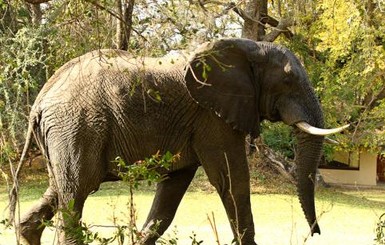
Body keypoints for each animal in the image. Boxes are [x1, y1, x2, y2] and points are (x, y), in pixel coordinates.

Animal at [9, 38, 346, 245]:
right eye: (288, 81)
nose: (316, 232)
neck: (246, 46)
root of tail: (41, 98)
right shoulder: (212, 117)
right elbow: (232, 181)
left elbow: (172, 190)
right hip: (78, 126)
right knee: (76, 191)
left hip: (63, 133)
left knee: (60, 188)